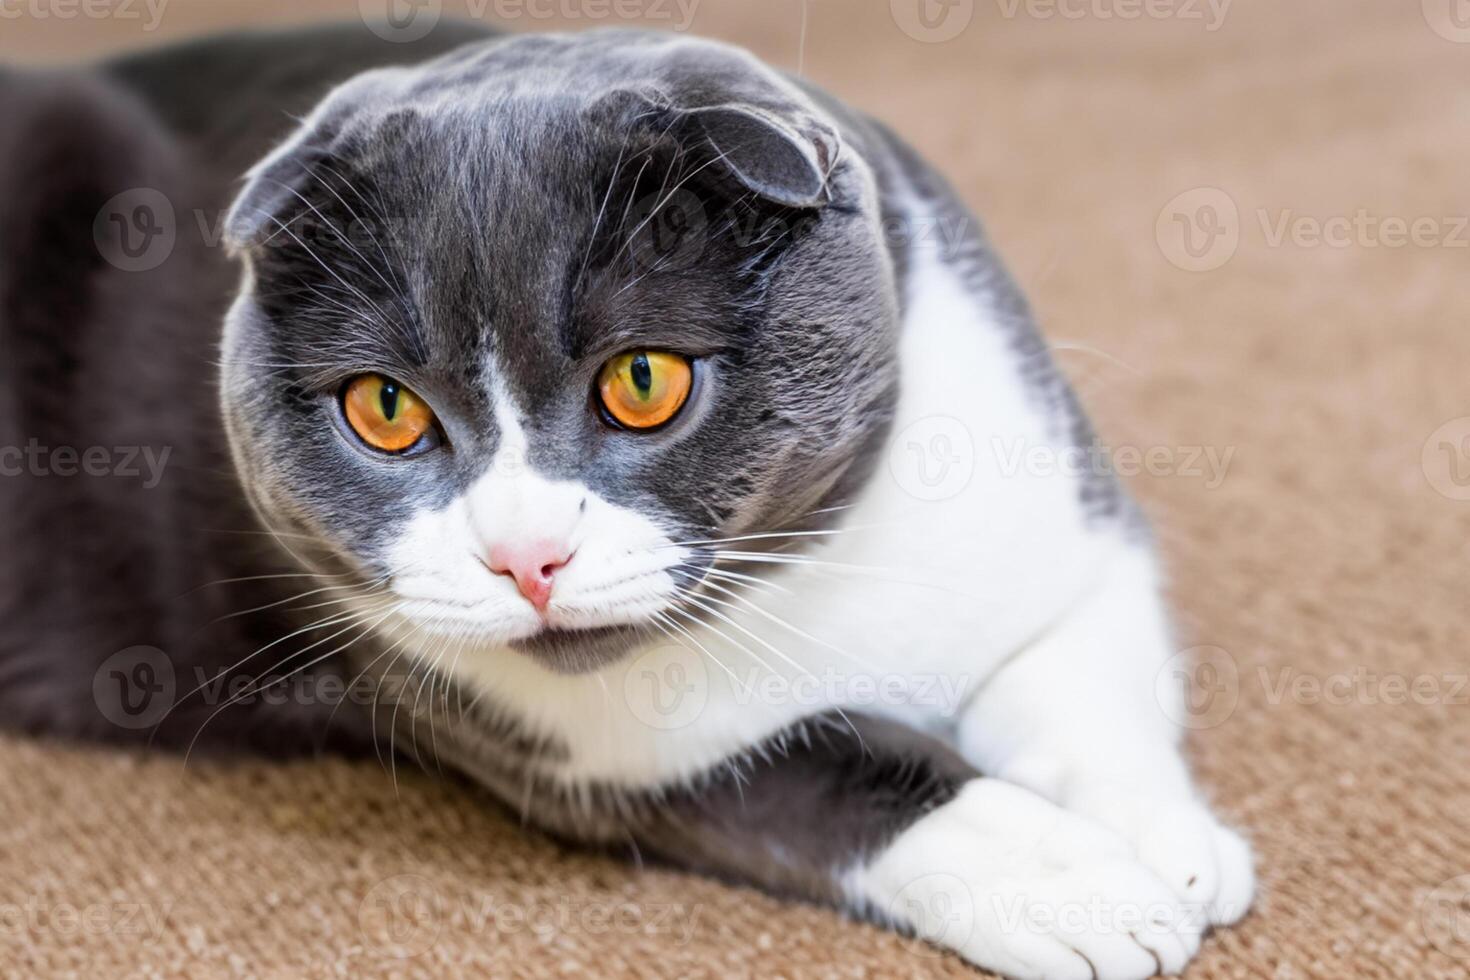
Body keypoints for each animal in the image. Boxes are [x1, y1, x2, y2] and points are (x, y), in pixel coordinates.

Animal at [2, 19, 1264, 975]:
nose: (524, 555)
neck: (823, 579)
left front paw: (1167, 838)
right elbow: (822, 758)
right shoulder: (588, 755)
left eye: (644, 380)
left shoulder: (1069, 521)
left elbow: (1076, 675)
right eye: (387, 408)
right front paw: (1078, 879)